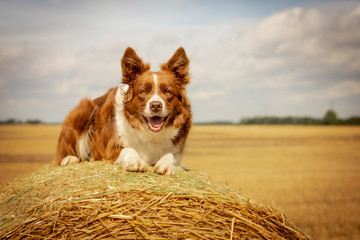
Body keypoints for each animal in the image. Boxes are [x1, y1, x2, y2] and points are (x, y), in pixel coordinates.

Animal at [54, 46, 191, 174]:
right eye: (143, 91)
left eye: (168, 91)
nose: (156, 105)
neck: (150, 134)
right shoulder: (111, 149)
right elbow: (128, 149)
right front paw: (135, 162)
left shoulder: (177, 151)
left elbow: (171, 155)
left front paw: (165, 164)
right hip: (83, 111)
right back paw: (69, 159)